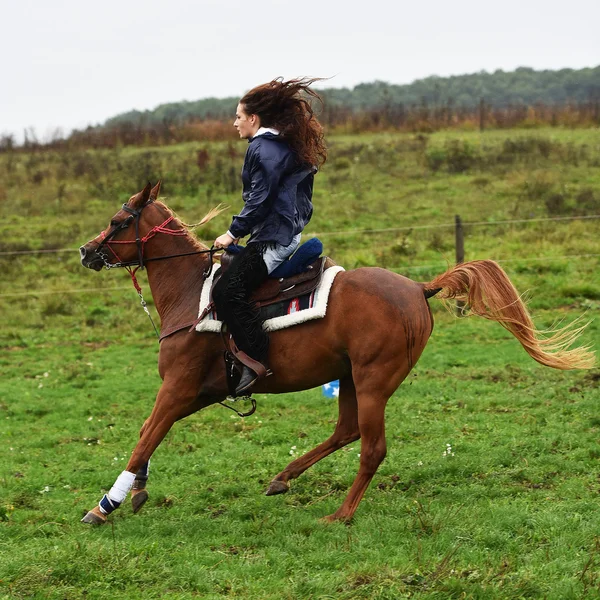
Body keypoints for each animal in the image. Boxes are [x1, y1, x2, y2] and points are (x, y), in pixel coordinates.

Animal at [77, 183, 592, 524]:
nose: (86, 251)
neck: (193, 292)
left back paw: (341, 513)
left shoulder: (180, 387)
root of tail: (418, 288)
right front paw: (137, 490)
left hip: (373, 379)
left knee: (371, 447)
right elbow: (150, 434)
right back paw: (284, 477)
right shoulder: (198, 392)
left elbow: (145, 436)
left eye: (118, 222)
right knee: (346, 432)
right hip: (348, 376)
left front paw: (105, 506)